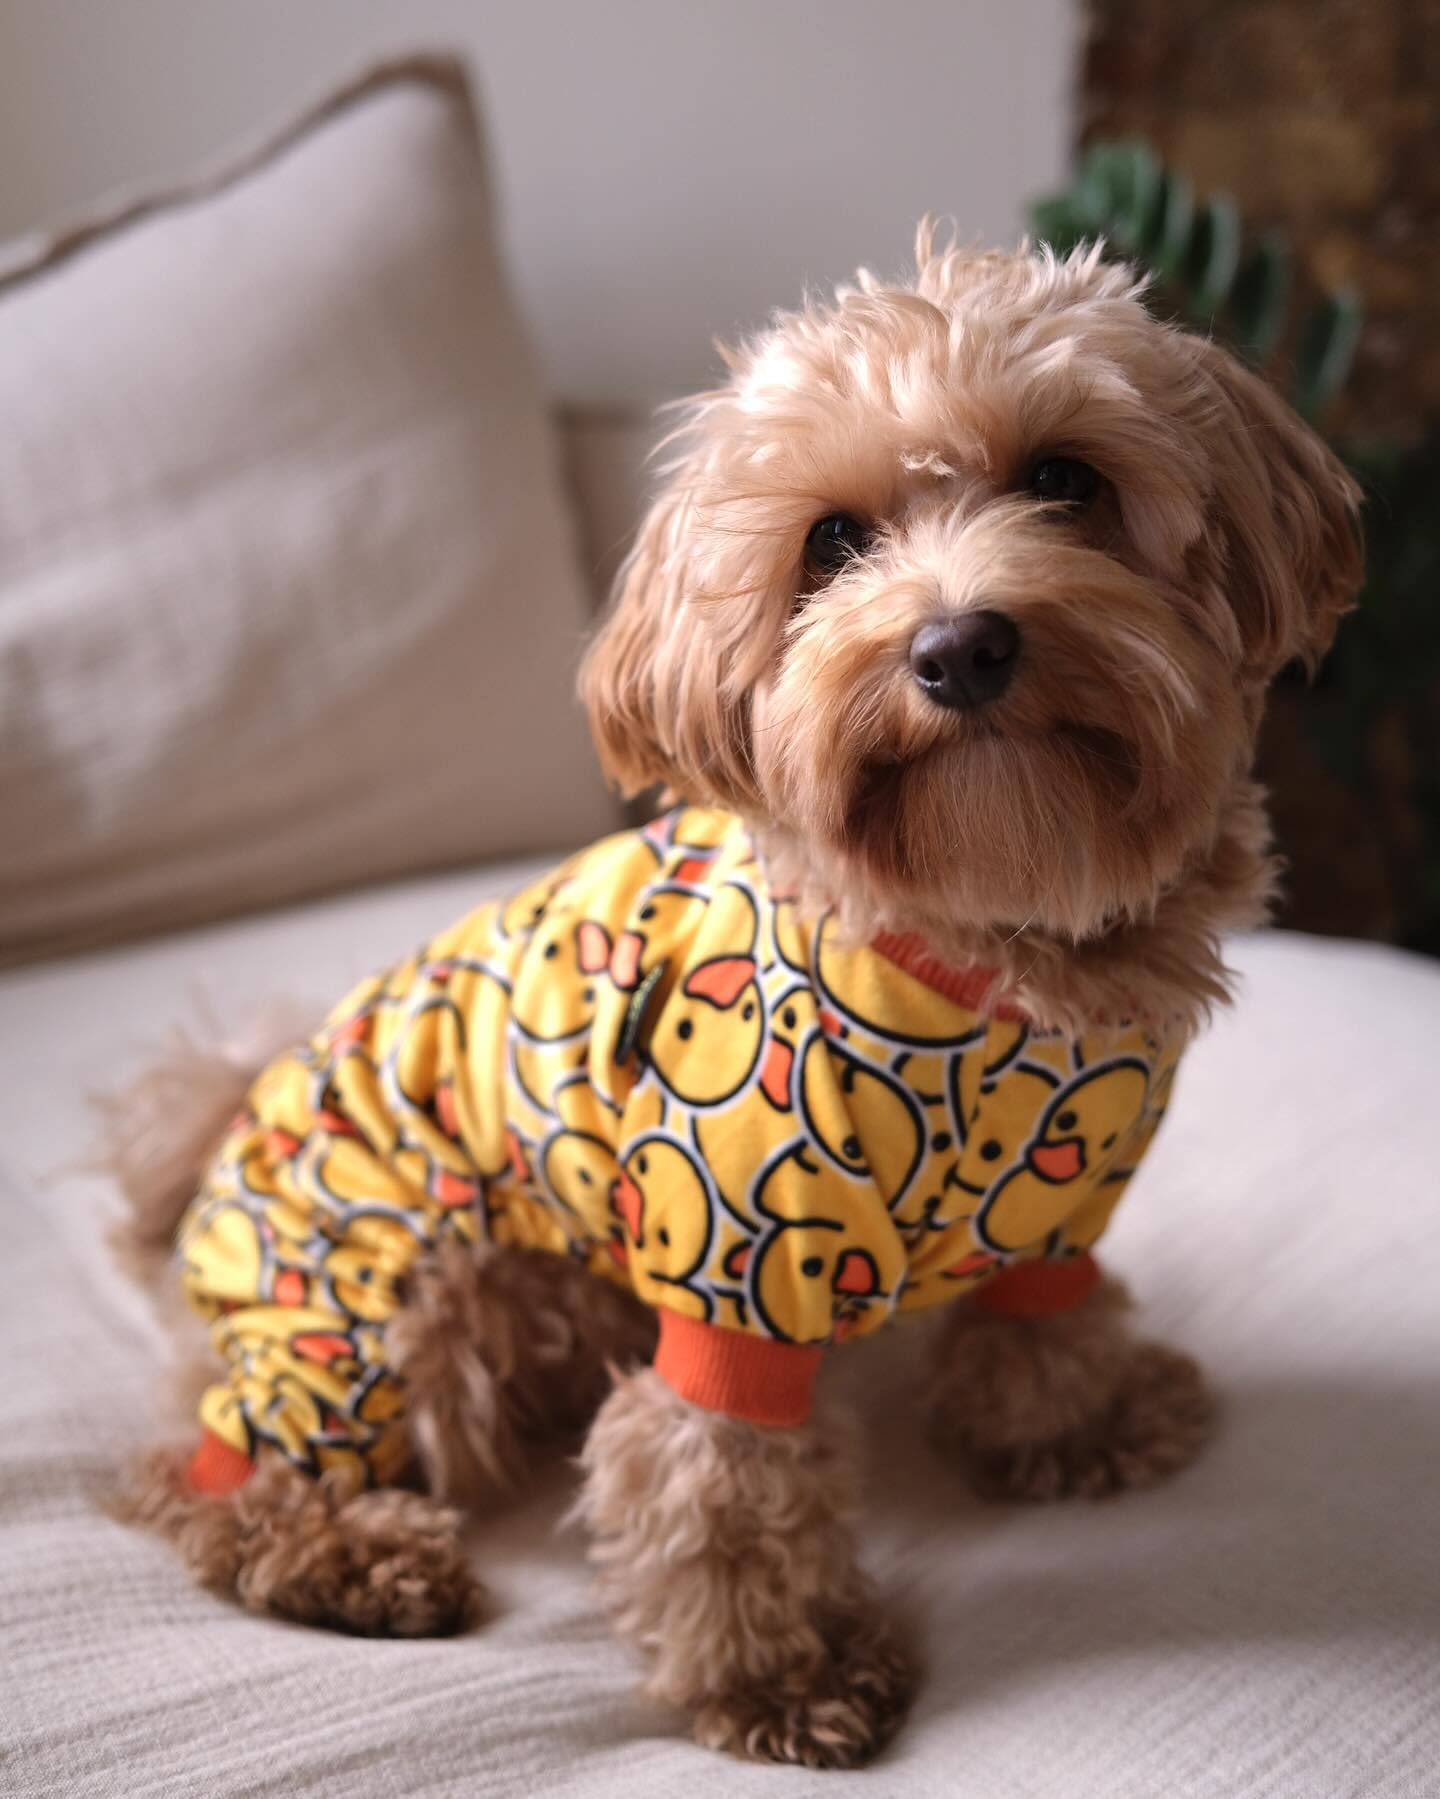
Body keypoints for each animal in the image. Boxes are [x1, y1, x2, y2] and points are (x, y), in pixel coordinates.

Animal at [115, 228, 1360, 1770]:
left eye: (1067, 479)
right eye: (831, 541)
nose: (959, 646)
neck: (985, 948)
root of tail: (223, 1120)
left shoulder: (1053, 1213)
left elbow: (1047, 1320)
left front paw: (1077, 1422)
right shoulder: (736, 1257)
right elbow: (720, 1478)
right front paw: (786, 1669)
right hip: (374, 1299)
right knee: (210, 1481)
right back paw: (358, 1556)